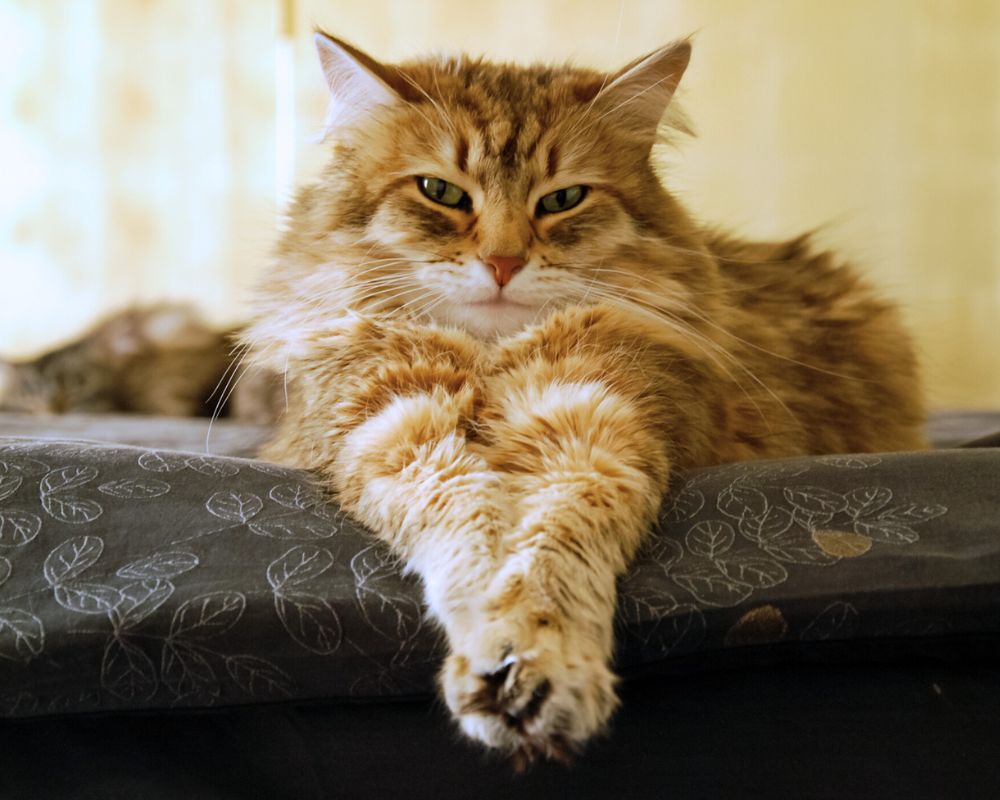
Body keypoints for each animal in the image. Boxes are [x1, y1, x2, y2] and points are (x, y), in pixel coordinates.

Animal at [246, 32, 924, 768]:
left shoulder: (599, 425)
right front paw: (494, 652)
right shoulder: (394, 430)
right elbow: (466, 534)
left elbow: (553, 553)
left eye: (563, 199)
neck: (490, 357)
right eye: (440, 191)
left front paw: (542, 667)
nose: (504, 263)